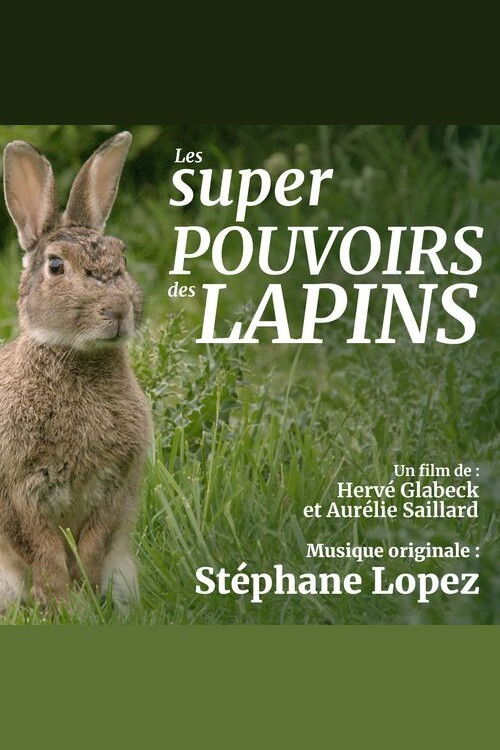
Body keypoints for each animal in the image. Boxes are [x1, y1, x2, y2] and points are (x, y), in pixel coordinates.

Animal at [0, 131, 152, 613]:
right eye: (55, 266)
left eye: (122, 258)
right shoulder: (20, 493)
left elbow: (93, 547)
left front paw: (84, 599)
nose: (118, 309)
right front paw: (62, 606)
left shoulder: (113, 489)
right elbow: (44, 551)